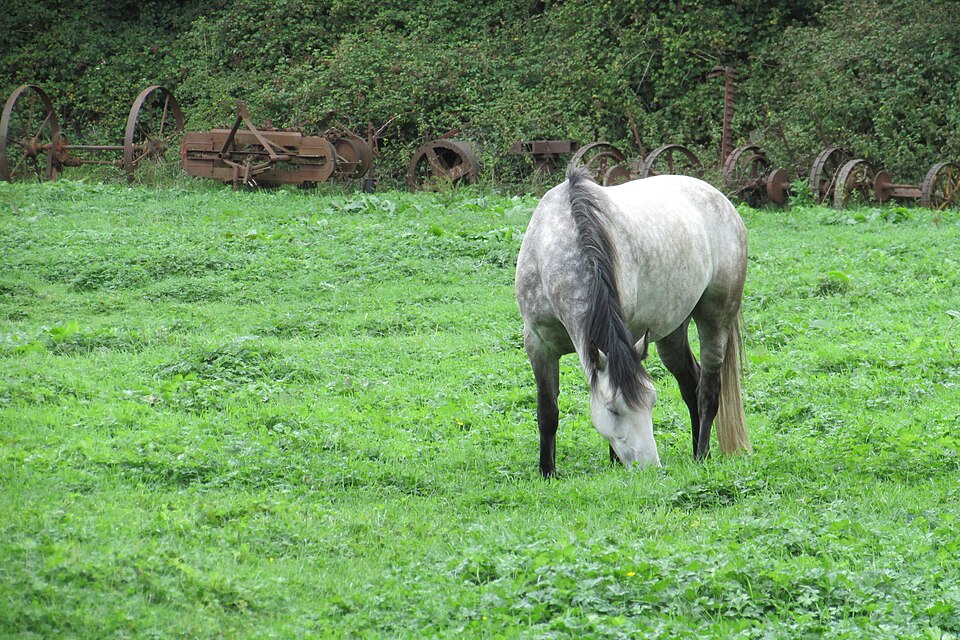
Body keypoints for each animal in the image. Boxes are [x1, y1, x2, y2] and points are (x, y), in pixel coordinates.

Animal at [515, 166, 751, 478]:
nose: (650, 467)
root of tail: (723, 202)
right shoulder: (538, 344)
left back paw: (701, 455)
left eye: (652, 403)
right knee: (692, 384)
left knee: (708, 393)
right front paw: (547, 472)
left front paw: (614, 463)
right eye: (613, 410)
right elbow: (547, 411)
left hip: (715, 319)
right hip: (672, 332)